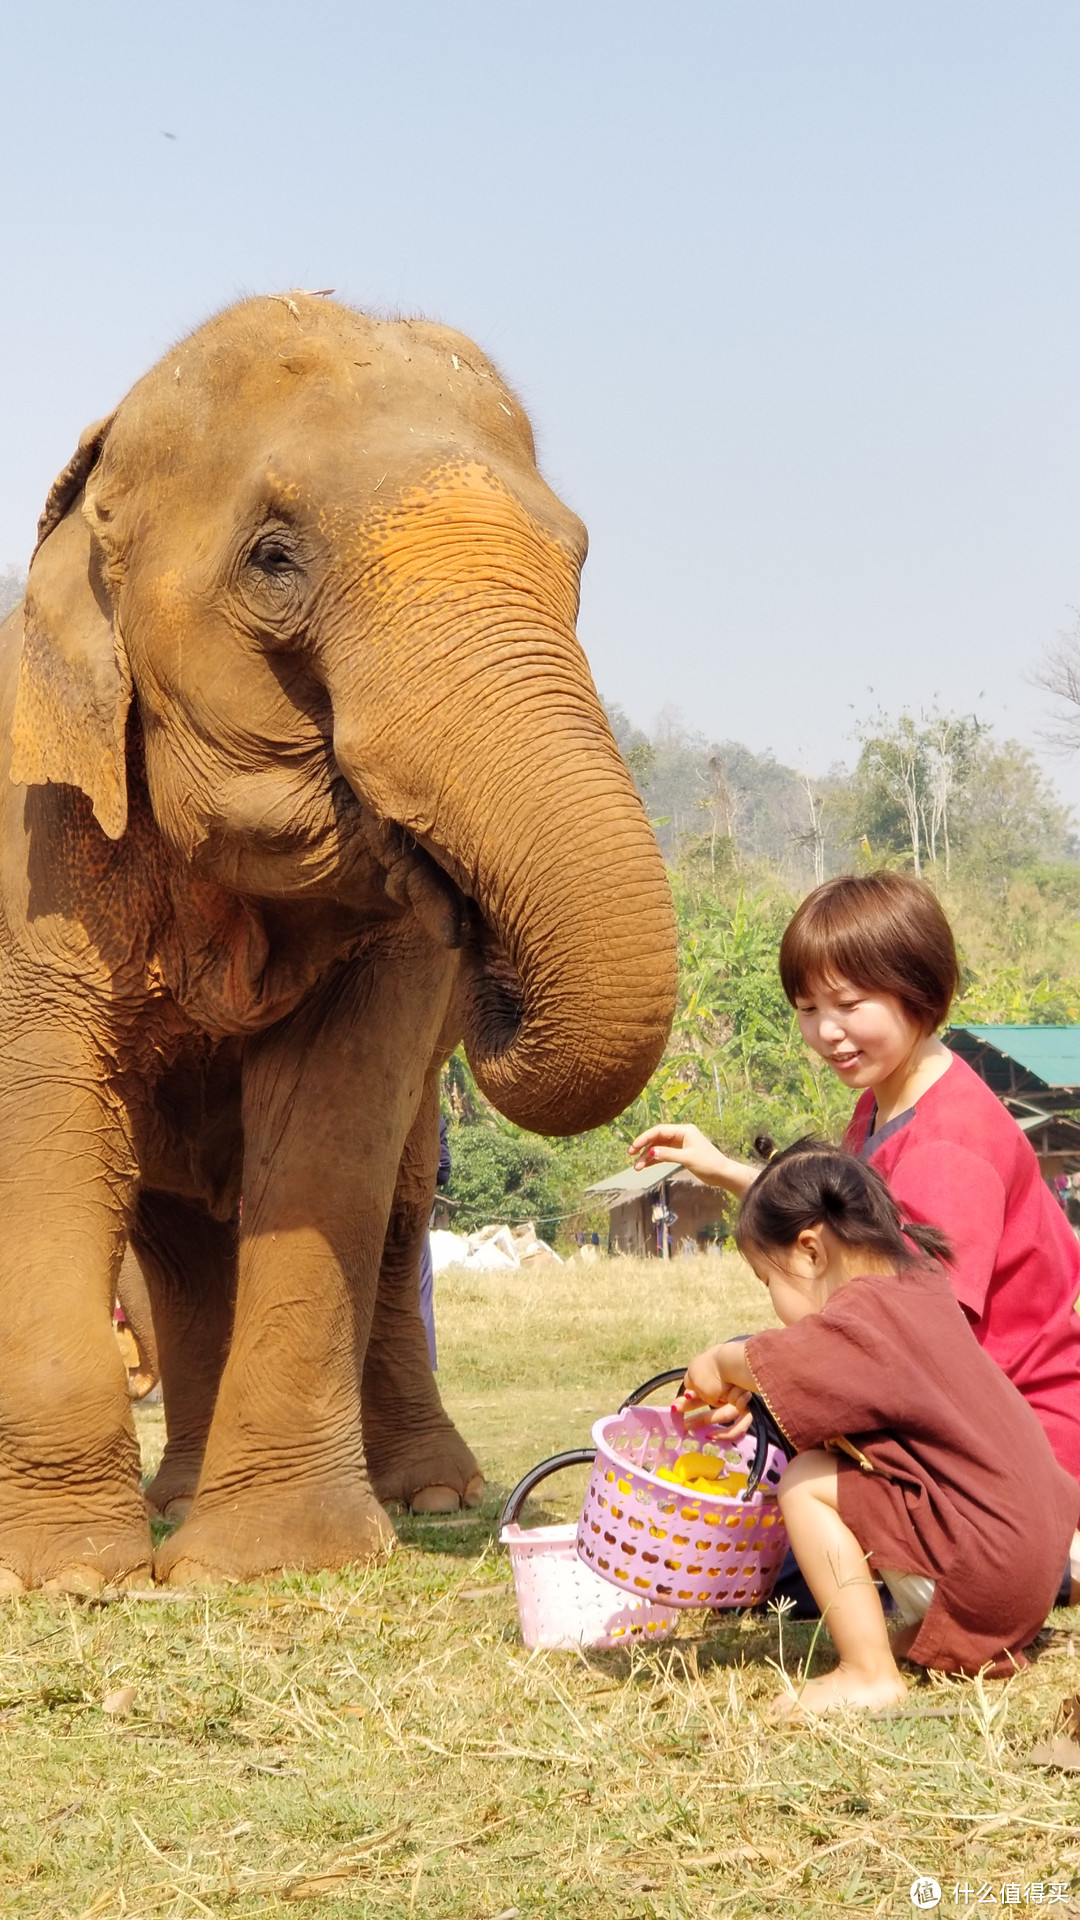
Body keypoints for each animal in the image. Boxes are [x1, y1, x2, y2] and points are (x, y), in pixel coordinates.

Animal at [0, 291, 672, 1589]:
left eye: (575, 560)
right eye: (275, 557)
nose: (477, 924)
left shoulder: (394, 959)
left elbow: (328, 1122)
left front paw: (263, 1562)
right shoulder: (33, 833)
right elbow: (48, 1103)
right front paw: (61, 1575)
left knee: (395, 1209)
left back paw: (426, 1492)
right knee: (175, 1233)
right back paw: (174, 1497)